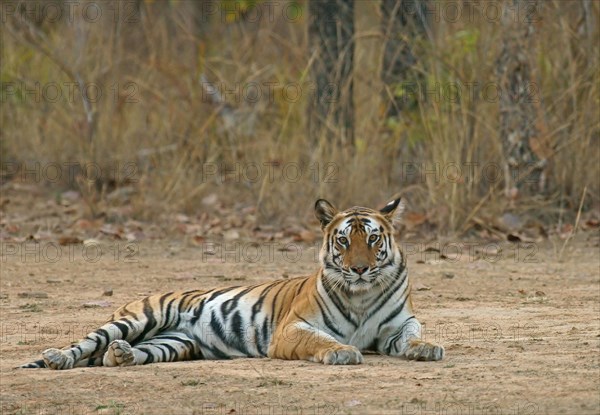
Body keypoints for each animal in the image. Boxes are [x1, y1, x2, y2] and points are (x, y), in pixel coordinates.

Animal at [21, 198, 442, 370]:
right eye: (343, 241)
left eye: (372, 239)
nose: (358, 269)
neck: (361, 294)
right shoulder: (292, 328)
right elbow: (323, 340)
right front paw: (342, 352)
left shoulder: (398, 326)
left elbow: (412, 337)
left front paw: (428, 349)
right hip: (137, 318)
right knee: (86, 343)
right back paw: (56, 358)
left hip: (173, 344)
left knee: (115, 355)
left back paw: (121, 356)